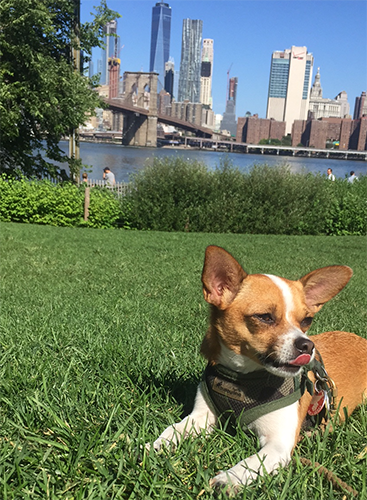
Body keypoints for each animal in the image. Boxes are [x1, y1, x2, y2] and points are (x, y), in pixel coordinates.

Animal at [150, 245, 367, 492]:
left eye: (307, 321)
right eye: (264, 317)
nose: (307, 345)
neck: (242, 378)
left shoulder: (278, 446)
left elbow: (252, 463)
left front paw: (229, 478)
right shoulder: (201, 417)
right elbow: (174, 428)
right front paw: (155, 445)